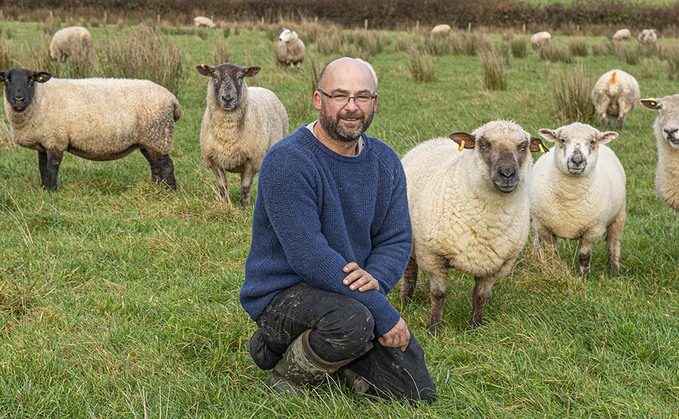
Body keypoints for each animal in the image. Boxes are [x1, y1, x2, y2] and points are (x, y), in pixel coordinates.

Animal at [0, 67, 181, 190]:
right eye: (7, 80)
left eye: (31, 80)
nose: (18, 99)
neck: (39, 98)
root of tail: (172, 99)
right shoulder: (44, 142)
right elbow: (43, 168)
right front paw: (45, 189)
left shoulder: (55, 140)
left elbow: (52, 168)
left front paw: (52, 191)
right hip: (149, 141)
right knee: (155, 165)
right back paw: (156, 187)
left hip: (158, 136)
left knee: (166, 165)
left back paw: (169, 191)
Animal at [195, 62, 288, 207]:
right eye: (214, 76)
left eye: (240, 77)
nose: (227, 98)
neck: (228, 133)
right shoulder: (214, 159)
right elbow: (223, 186)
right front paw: (224, 204)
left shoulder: (252, 160)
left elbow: (245, 187)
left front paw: (245, 207)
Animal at [402, 120, 548, 334]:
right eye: (484, 144)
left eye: (523, 146)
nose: (507, 174)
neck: (487, 222)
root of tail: (433, 140)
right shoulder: (432, 255)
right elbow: (438, 293)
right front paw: (433, 328)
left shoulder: (497, 265)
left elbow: (480, 296)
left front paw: (475, 327)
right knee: (410, 273)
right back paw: (406, 302)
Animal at [528, 122, 628, 278]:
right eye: (562, 140)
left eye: (592, 142)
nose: (577, 160)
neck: (571, 195)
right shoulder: (543, 226)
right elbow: (553, 253)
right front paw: (556, 269)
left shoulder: (594, 229)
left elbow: (584, 256)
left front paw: (585, 278)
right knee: (537, 242)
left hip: (619, 216)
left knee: (613, 244)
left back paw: (616, 270)